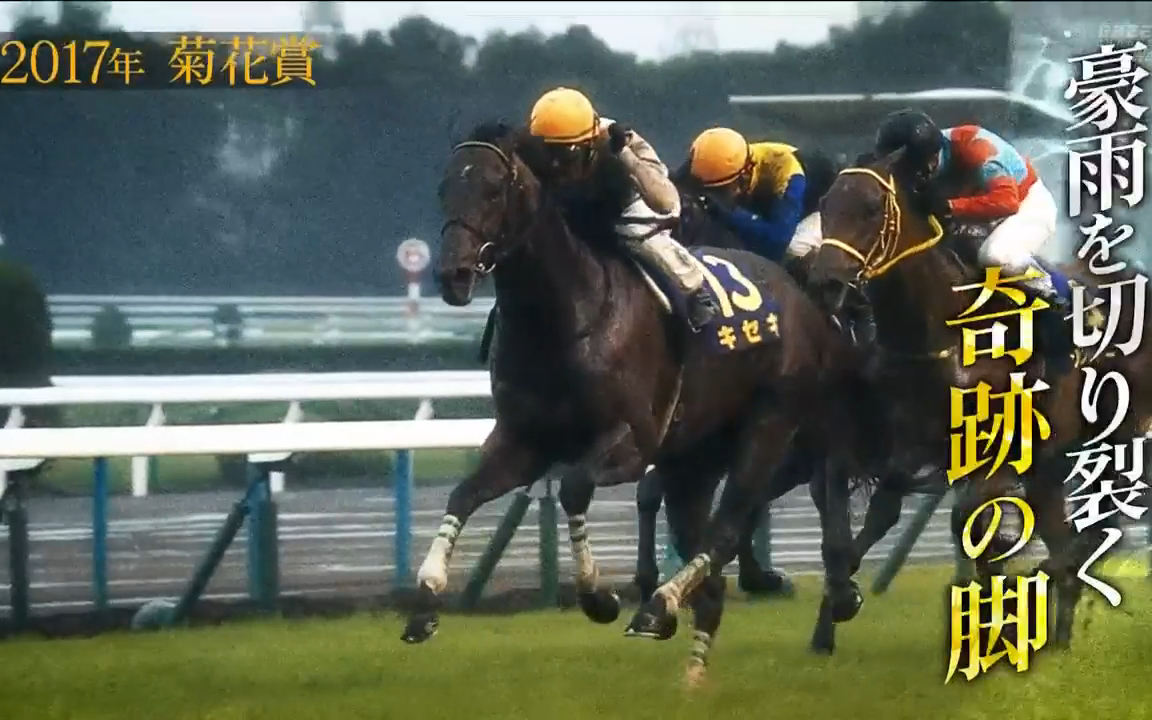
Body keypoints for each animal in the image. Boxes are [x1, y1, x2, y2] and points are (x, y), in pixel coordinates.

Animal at [404, 121, 870, 682]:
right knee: (709, 559)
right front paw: (425, 605)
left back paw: (665, 605)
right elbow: (462, 496)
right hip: (695, 455)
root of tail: (800, 294)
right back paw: (690, 666)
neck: (563, 318)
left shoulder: (631, 443)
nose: (452, 274)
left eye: (494, 190)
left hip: (771, 424)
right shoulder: (522, 441)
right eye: (445, 188)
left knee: (733, 522)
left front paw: (598, 597)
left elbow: (574, 489)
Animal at [807, 148, 1121, 648]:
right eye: (825, 202)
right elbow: (865, 515)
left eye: (872, 208)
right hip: (1050, 459)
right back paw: (1058, 627)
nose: (826, 284)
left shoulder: (989, 449)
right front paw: (839, 599)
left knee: (1098, 524)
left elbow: (971, 524)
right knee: (1063, 526)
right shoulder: (892, 439)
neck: (941, 327)